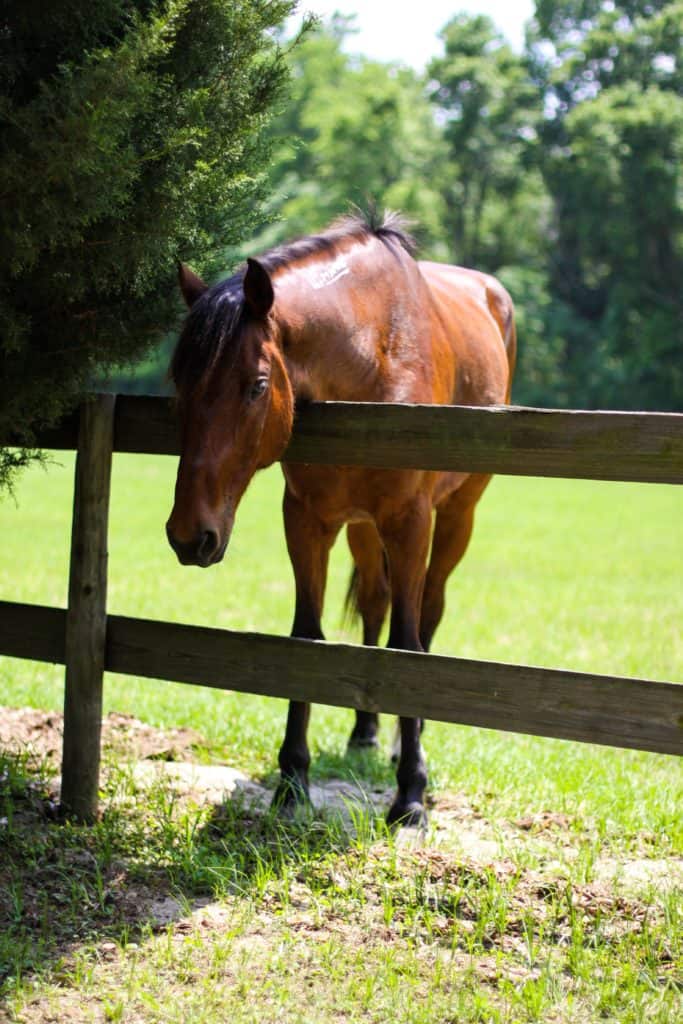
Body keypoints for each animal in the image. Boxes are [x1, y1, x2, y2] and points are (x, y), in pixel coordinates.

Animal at [166, 211, 518, 827]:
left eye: (257, 385)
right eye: (181, 383)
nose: (191, 536)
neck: (373, 359)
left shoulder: (410, 523)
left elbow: (406, 644)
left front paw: (410, 794)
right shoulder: (308, 521)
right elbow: (309, 637)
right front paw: (292, 781)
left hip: (456, 516)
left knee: (428, 614)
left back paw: (406, 741)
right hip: (362, 528)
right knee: (376, 604)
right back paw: (366, 732)